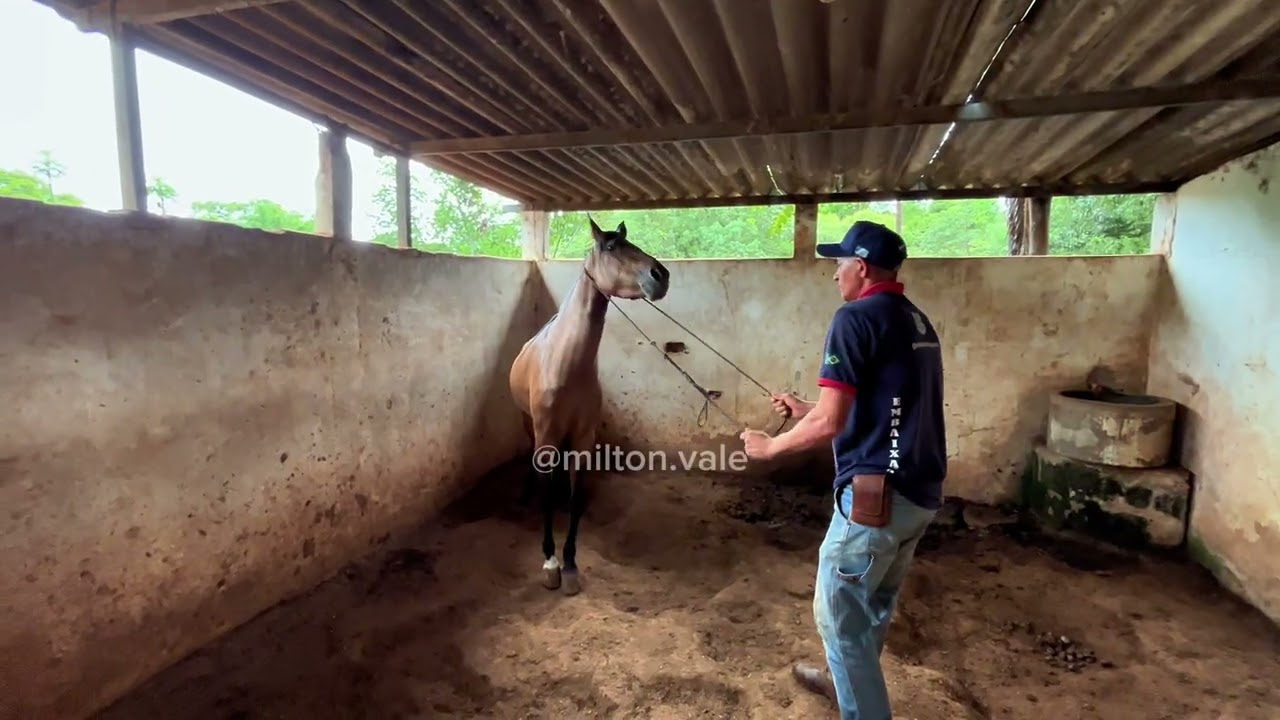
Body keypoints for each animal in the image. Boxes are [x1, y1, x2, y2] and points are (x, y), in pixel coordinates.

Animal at [508, 216, 670, 595]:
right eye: (611, 247)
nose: (660, 275)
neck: (567, 365)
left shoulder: (583, 439)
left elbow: (576, 496)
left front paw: (569, 563)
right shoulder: (547, 436)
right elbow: (547, 494)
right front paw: (550, 562)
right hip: (529, 424)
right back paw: (526, 493)